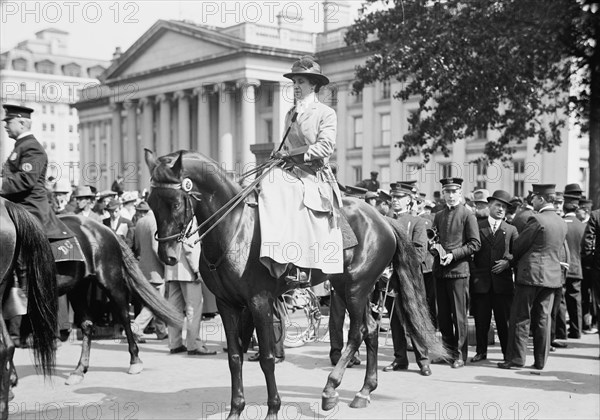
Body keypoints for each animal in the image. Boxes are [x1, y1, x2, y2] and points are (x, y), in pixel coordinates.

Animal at [145, 151, 446, 420]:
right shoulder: (228, 304)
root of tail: (382, 218)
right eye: (150, 201)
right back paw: (364, 391)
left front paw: (273, 409)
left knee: (357, 333)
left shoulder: (259, 302)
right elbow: (234, 357)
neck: (234, 229)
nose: (167, 255)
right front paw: (235, 410)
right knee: (370, 329)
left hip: (355, 287)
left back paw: (330, 389)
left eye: (175, 202)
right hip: (356, 287)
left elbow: (267, 358)